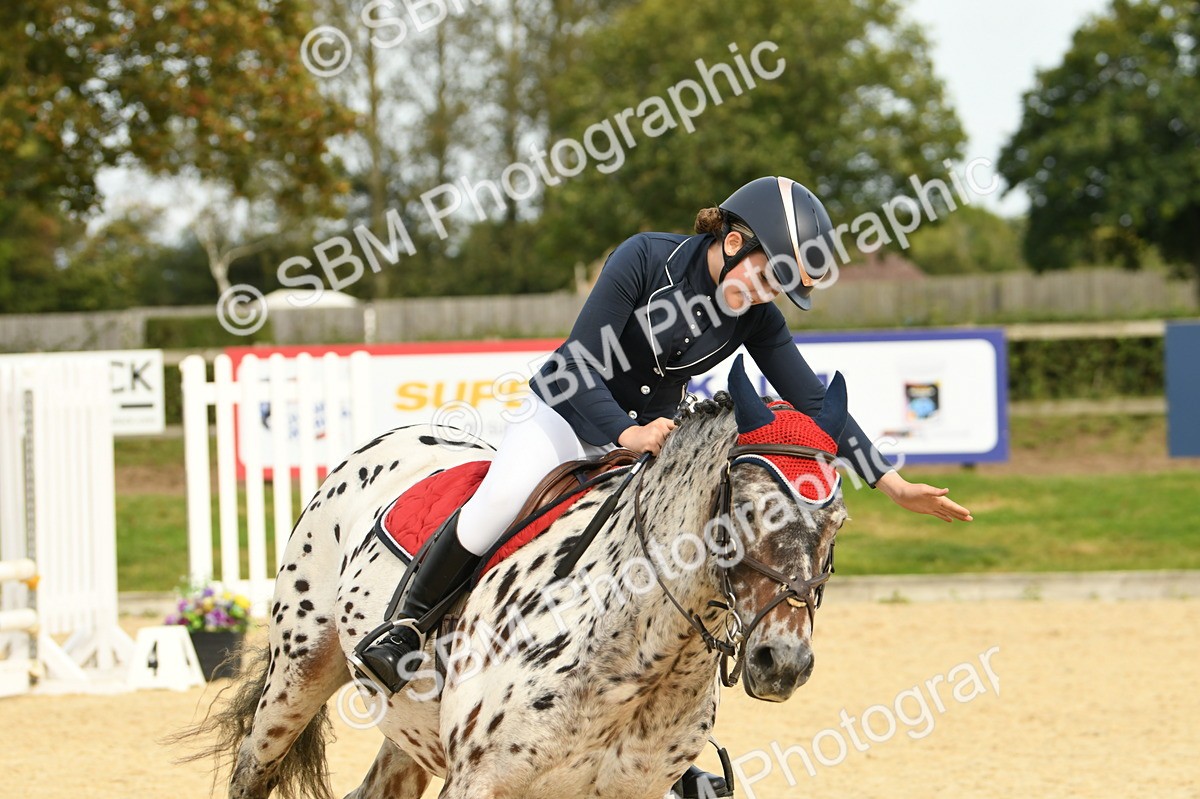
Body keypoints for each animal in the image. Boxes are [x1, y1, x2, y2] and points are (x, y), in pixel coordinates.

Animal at [178, 356, 849, 799]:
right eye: (750, 509)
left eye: (837, 522)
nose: (782, 662)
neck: (642, 655)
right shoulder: (482, 781)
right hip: (299, 673)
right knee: (253, 766)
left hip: (409, 728)